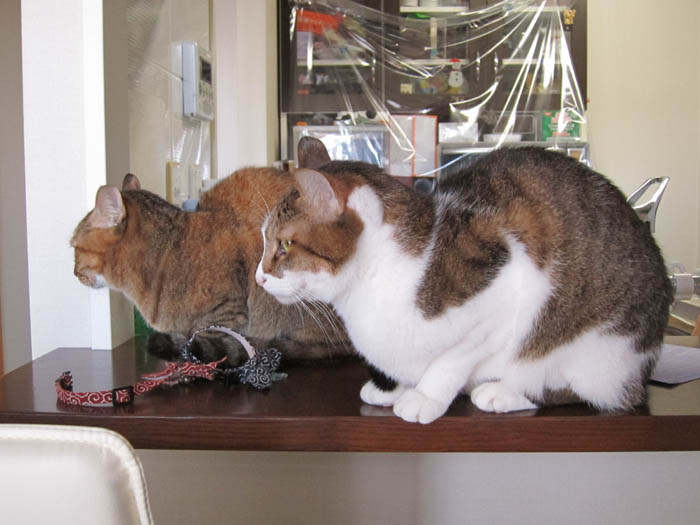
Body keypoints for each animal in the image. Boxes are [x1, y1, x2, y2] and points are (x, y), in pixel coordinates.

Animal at [255, 137, 673, 423]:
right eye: (264, 239)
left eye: (285, 245)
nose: (259, 278)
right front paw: (396, 387)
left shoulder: (505, 292)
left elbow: (452, 359)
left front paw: (425, 396)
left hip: (598, 348)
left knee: (591, 391)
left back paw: (502, 393)